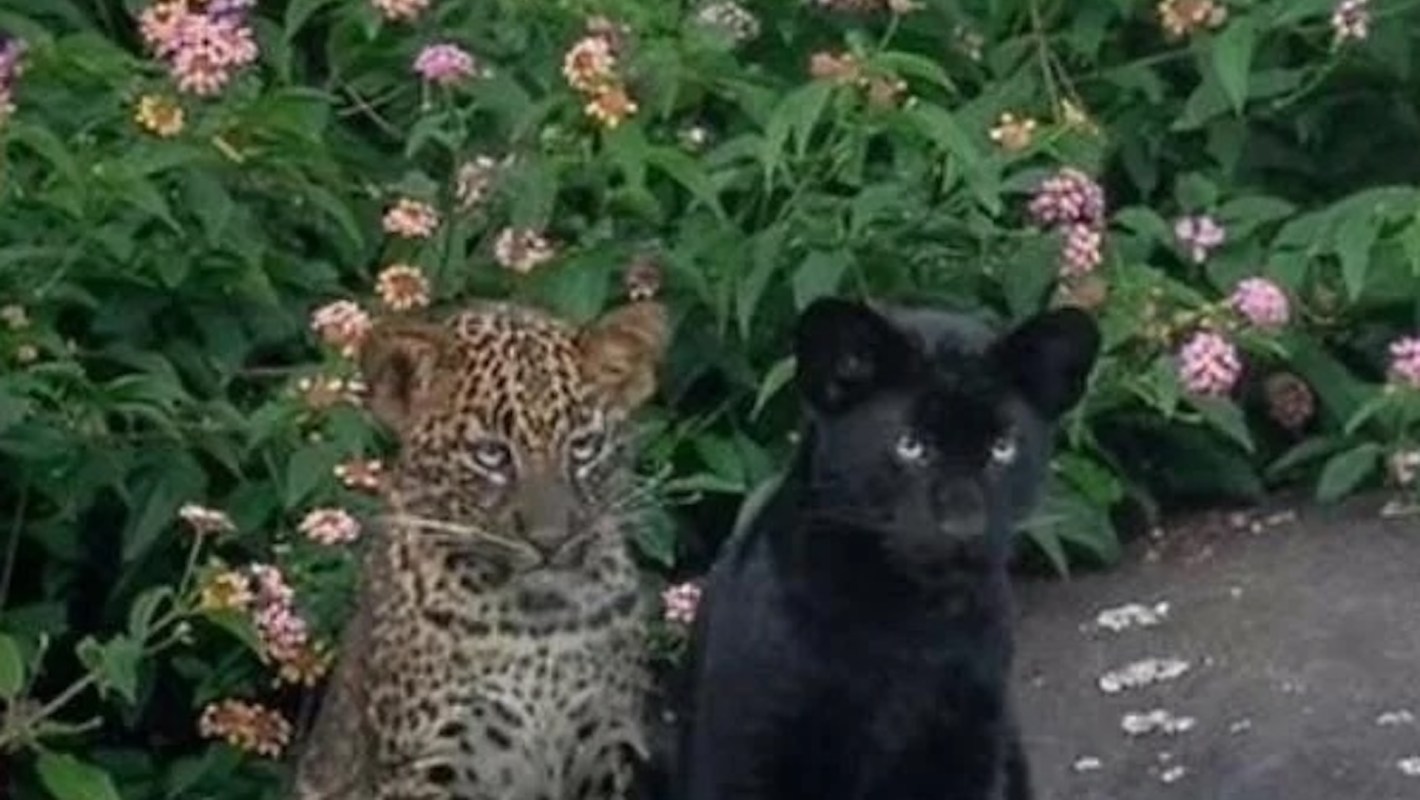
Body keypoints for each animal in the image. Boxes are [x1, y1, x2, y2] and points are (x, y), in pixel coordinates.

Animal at [290, 297, 669, 800]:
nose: (551, 540)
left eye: (583, 447)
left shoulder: (605, 746)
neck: (539, 625)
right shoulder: (433, 763)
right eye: (492, 454)